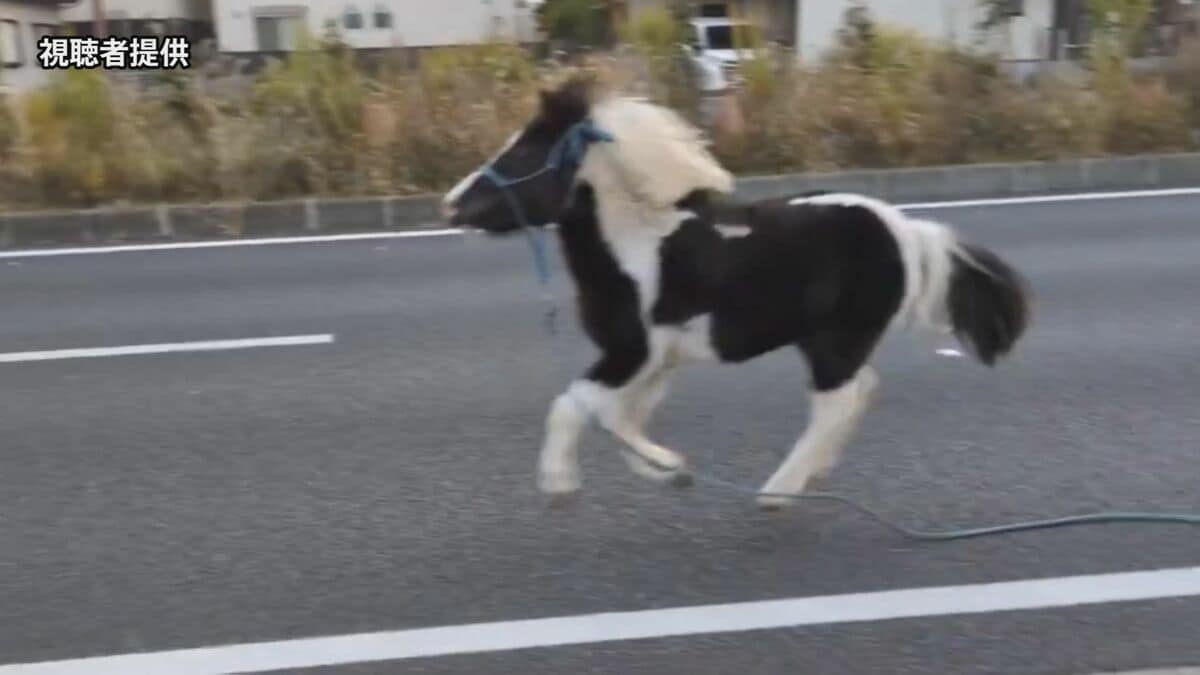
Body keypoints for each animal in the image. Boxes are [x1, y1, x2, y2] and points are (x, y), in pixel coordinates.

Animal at [441, 77, 1031, 510]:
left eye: (522, 154)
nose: (451, 204)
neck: (637, 245)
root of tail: (906, 231)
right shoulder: (654, 358)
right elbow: (621, 418)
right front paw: (670, 469)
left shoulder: (632, 350)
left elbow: (574, 405)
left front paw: (560, 482)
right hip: (829, 342)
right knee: (860, 389)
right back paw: (813, 475)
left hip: (836, 341)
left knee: (836, 403)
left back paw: (778, 491)